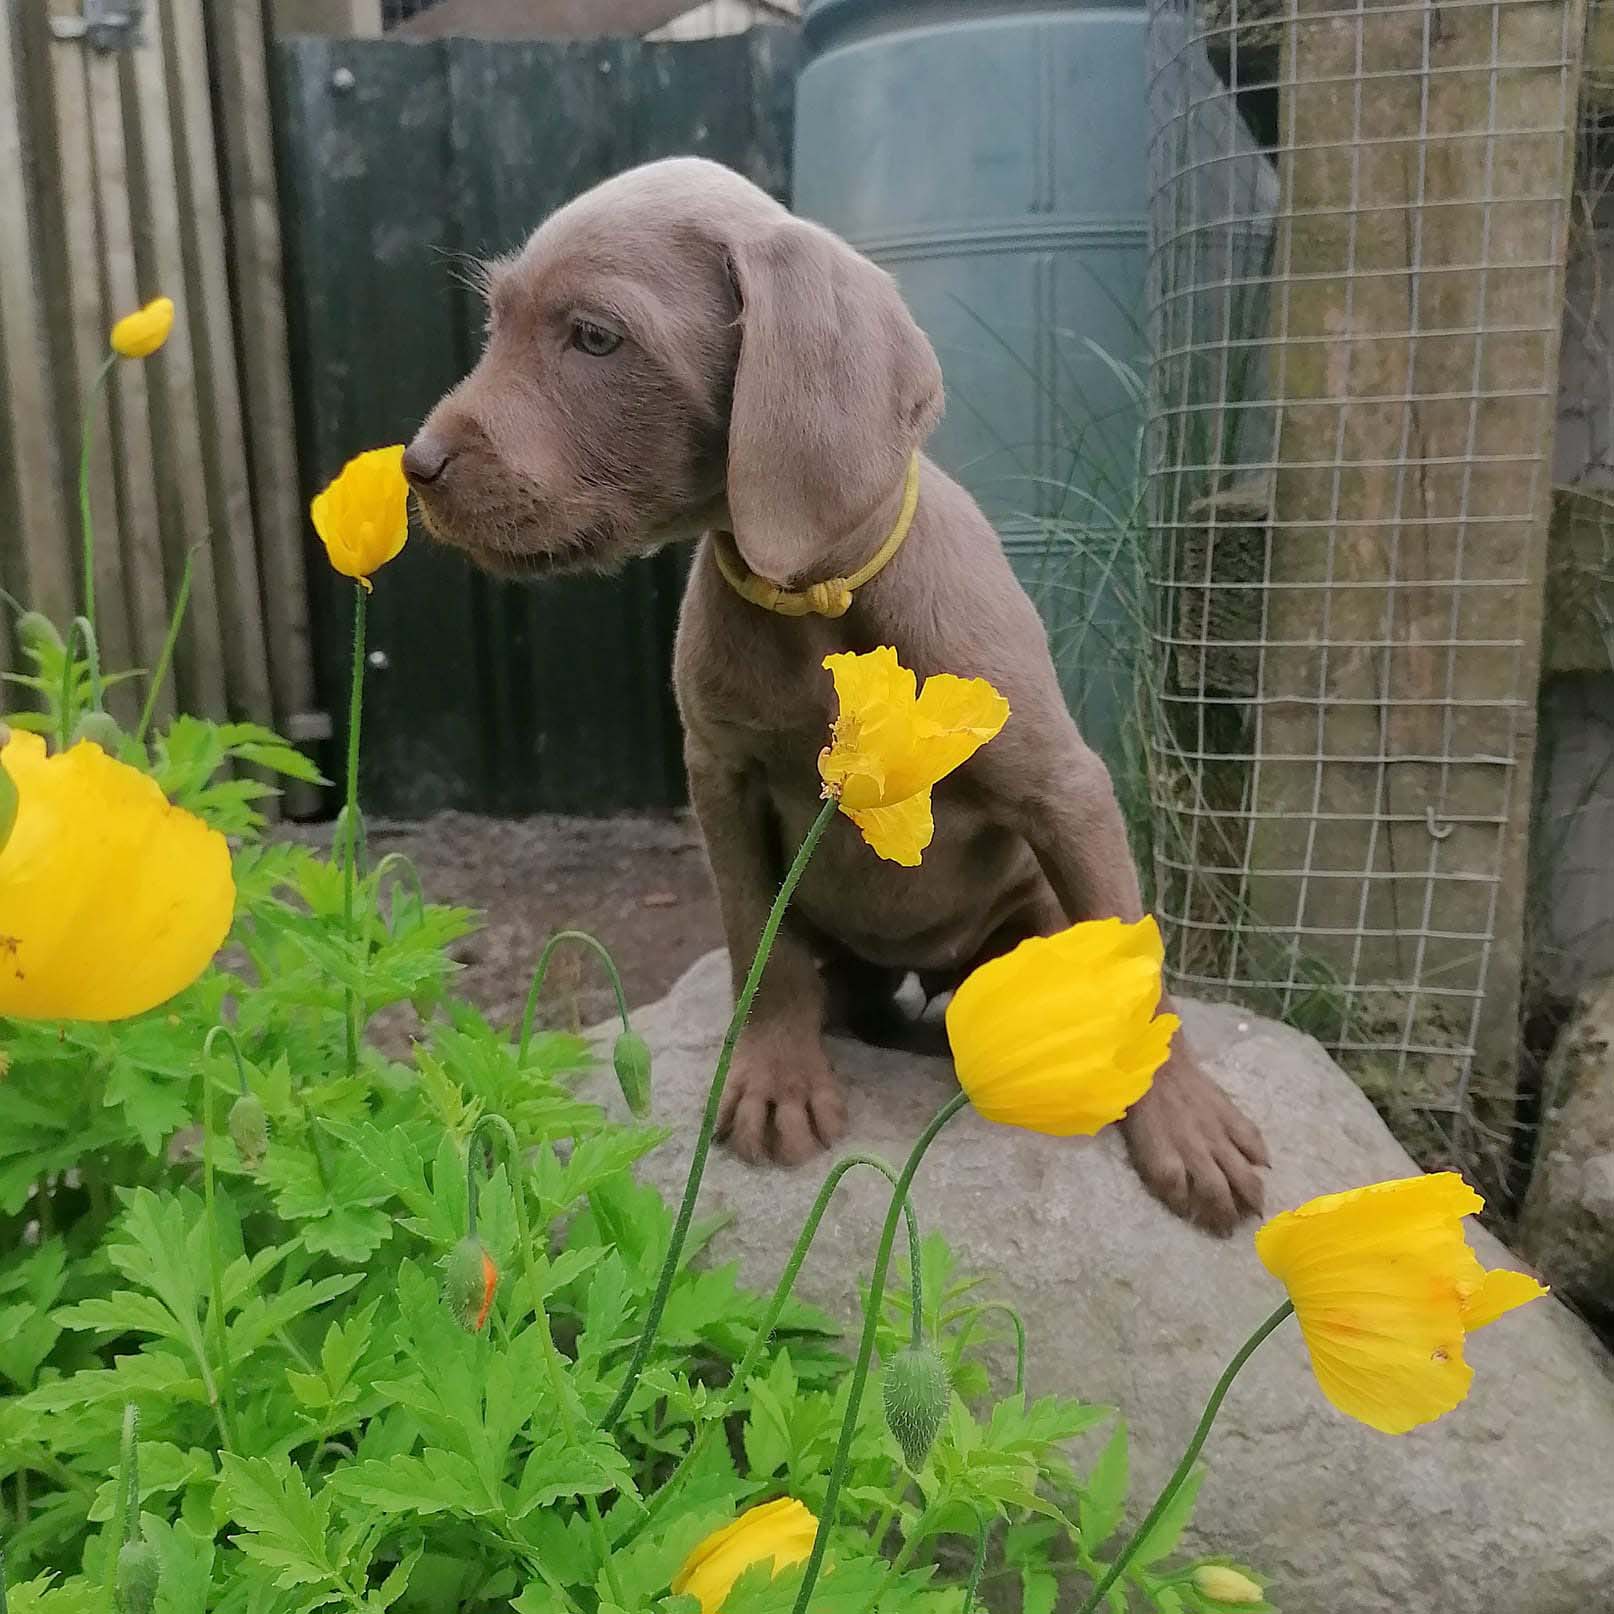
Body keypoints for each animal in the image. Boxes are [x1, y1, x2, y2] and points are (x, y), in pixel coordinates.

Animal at [400, 154, 1258, 1233]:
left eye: (595, 336)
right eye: (495, 321)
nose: (414, 466)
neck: (816, 601)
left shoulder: (1067, 786)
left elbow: (1139, 970)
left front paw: (1183, 1122)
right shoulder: (720, 779)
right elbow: (753, 945)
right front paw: (775, 1077)